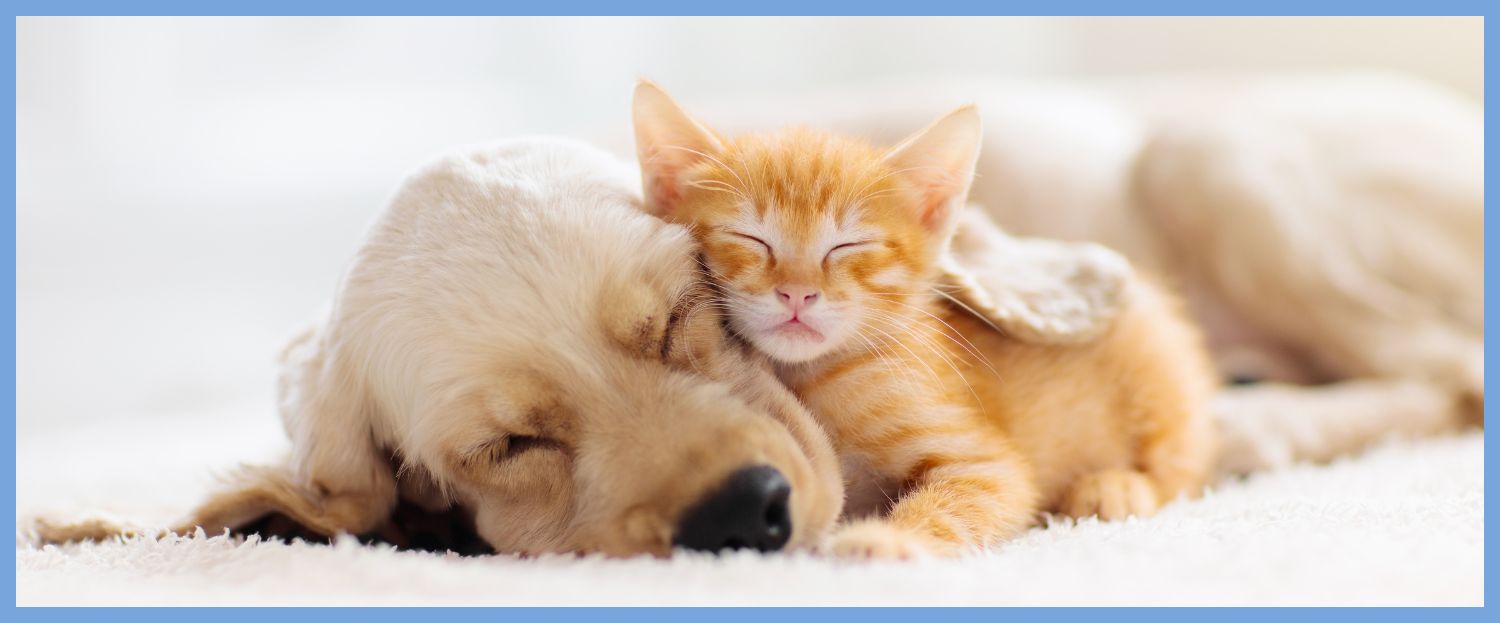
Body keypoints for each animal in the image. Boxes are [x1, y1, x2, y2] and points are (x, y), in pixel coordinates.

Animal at [633, 80, 1218, 558]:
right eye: (750, 238)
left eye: (848, 245)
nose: (797, 292)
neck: (810, 377)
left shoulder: (984, 463)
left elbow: (963, 499)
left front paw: (886, 539)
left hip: (1158, 372)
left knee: (1183, 466)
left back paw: (1117, 486)